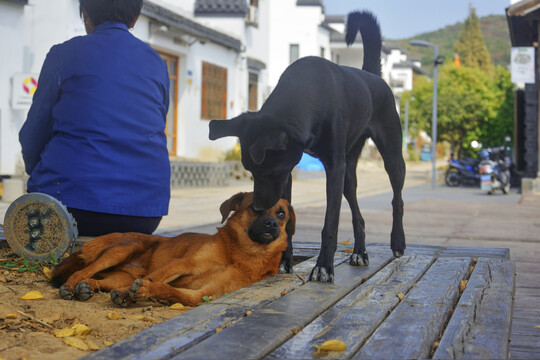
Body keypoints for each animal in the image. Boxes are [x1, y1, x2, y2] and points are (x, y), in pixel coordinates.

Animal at [51, 191, 296, 306]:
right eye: (256, 208)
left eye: (281, 214)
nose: (272, 224)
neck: (244, 254)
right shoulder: (181, 264)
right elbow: (156, 277)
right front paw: (130, 293)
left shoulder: (201, 295)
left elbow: (169, 290)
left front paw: (142, 292)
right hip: (123, 248)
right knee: (81, 270)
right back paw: (71, 286)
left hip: (118, 275)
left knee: (100, 280)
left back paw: (87, 288)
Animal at [210, 10, 404, 282]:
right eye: (250, 171)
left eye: (268, 171)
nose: (258, 206)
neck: (310, 93)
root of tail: (373, 77)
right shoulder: (291, 172)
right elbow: (288, 220)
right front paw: (284, 261)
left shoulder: (331, 168)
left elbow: (330, 223)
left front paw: (323, 266)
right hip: (348, 174)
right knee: (358, 214)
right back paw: (359, 252)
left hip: (391, 155)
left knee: (397, 199)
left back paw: (397, 242)